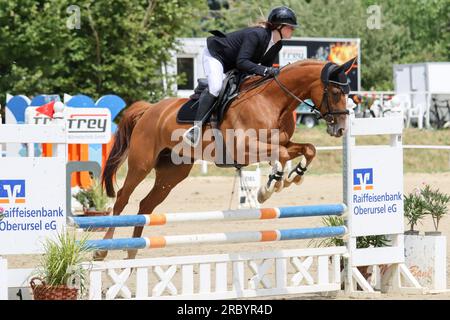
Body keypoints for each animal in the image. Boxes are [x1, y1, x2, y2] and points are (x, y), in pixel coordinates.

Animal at [97, 57, 356, 260]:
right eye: (335, 92)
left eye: (348, 94)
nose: (341, 129)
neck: (272, 101)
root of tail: (149, 109)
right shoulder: (243, 148)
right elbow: (280, 155)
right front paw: (270, 187)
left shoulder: (280, 143)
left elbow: (307, 149)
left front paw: (293, 177)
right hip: (141, 164)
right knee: (122, 198)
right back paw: (104, 248)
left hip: (172, 173)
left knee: (146, 205)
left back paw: (132, 250)